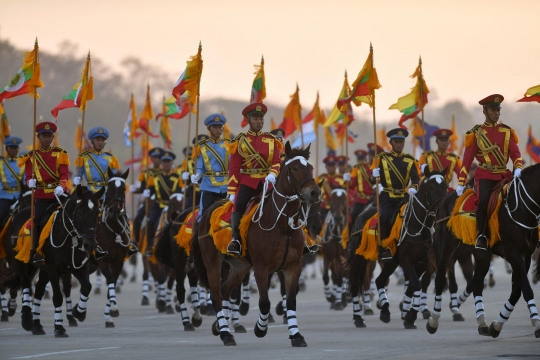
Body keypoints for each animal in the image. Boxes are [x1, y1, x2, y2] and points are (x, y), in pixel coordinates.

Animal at [192, 143, 320, 346]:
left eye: (311, 167)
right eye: (294, 168)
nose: (315, 193)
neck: (282, 225)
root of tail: (205, 213)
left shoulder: (293, 267)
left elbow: (291, 301)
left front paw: (296, 335)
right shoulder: (261, 268)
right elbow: (264, 303)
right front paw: (260, 329)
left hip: (240, 266)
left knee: (225, 290)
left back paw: (219, 327)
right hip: (212, 263)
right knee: (216, 294)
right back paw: (225, 333)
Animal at [350, 169, 448, 330]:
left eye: (445, 185)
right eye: (431, 187)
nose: (441, 205)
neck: (418, 224)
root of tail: (361, 216)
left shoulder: (423, 261)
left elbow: (413, 286)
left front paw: (408, 316)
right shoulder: (406, 259)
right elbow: (415, 284)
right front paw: (410, 316)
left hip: (391, 262)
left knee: (379, 280)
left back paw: (384, 312)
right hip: (358, 258)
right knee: (354, 284)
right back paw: (358, 318)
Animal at [426, 163, 540, 338]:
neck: (521, 208)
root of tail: (445, 199)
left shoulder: (526, 255)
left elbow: (517, 290)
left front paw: (497, 325)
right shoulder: (514, 254)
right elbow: (526, 290)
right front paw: (536, 322)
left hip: (481, 254)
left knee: (477, 283)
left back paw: (482, 323)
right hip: (446, 247)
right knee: (440, 279)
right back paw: (433, 321)